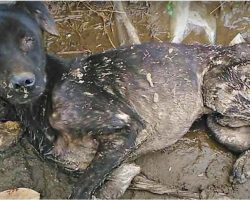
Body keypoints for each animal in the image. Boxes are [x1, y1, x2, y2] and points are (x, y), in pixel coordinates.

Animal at [1, 1, 250, 200]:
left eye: (29, 40)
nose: (23, 82)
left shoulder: (127, 127)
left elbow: (80, 190)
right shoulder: (123, 169)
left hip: (216, 91)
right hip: (218, 124)